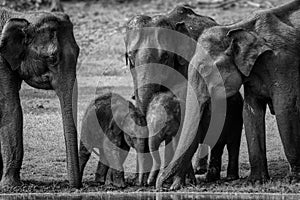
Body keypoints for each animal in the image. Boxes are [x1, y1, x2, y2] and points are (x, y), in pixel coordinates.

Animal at [156, 0, 300, 189]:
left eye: (206, 71)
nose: (162, 185)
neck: (235, 28)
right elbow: (251, 112)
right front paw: (255, 181)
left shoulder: (283, 64)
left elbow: (285, 109)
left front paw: (294, 179)